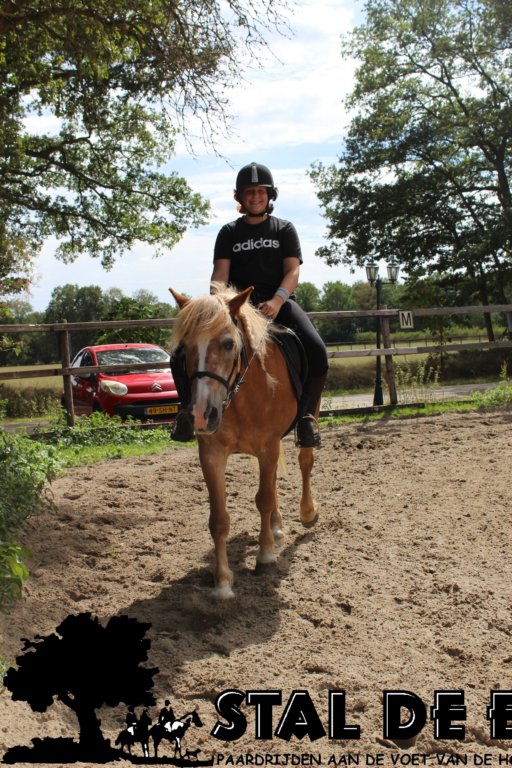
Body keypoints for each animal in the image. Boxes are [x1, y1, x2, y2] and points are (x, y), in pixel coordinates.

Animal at [169, 284, 319, 598]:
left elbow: (263, 499)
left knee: (305, 462)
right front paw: (223, 582)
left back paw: (307, 512)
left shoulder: (268, 447)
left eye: (228, 344)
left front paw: (265, 558)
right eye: (184, 348)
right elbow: (218, 519)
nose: (200, 415)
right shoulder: (211, 454)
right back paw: (276, 527)